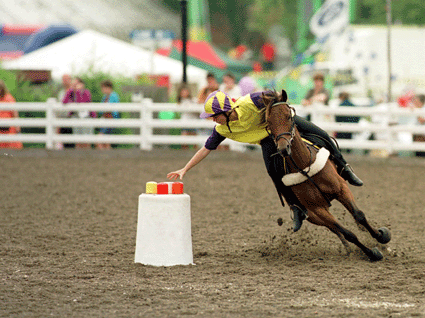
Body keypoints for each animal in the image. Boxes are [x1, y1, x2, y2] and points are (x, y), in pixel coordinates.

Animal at [264, 89, 390, 260]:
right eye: (269, 123)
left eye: (289, 116)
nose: (283, 148)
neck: (305, 166)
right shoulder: (317, 209)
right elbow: (346, 232)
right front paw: (371, 253)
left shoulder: (342, 189)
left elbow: (359, 215)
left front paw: (381, 235)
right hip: (312, 215)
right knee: (333, 228)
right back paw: (347, 248)